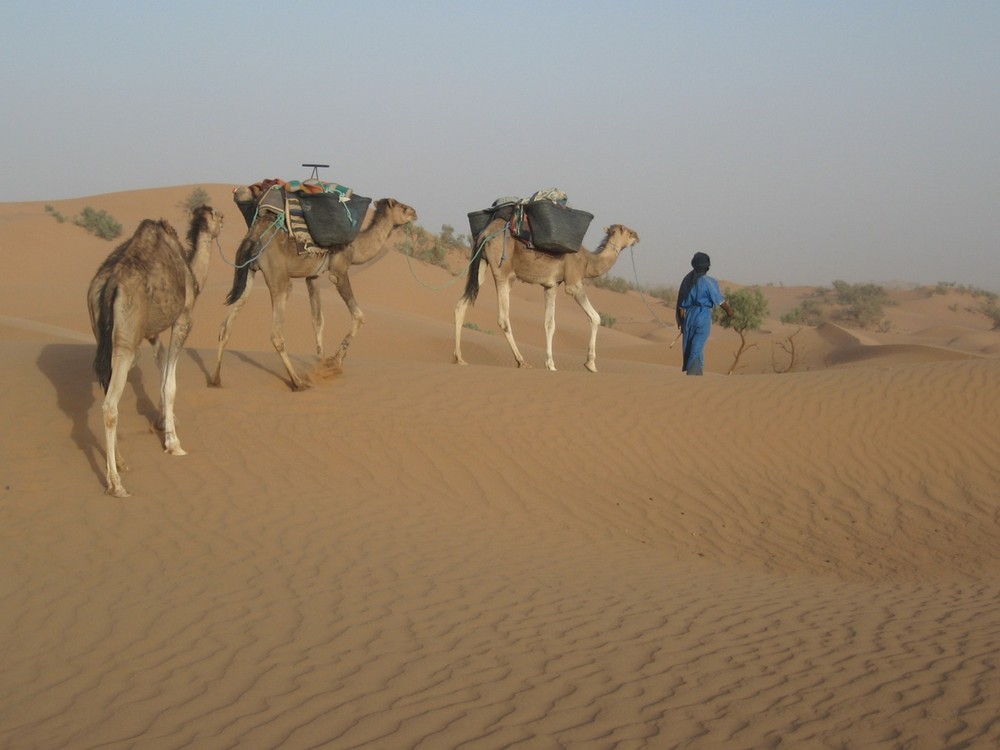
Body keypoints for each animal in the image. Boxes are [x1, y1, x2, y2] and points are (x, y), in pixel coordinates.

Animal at [88, 206, 225, 500]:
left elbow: (161, 364)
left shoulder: (152, 332)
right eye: (218, 217)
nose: (224, 219)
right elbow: (169, 384)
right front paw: (174, 443)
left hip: (103, 334)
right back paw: (116, 485)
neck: (192, 274)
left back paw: (120, 462)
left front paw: (164, 422)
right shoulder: (183, 319)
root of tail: (110, 283)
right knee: (110, 405)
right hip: (126, 340)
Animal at [209, 194, 416, 394]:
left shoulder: (313, 276)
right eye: (403, 207)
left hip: (248, 272)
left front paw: (321, 362)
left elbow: (318, 320)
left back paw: (215, 380)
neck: (356, 247)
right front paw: (335, 362)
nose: (414, 213)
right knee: (276, 333)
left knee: (225, 326)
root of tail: (254, 235)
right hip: (278, 275)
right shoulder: (338, 271)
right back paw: (298, 383)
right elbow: (359, 316)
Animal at [456, 222, 640, 374]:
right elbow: (595, 317)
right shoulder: (573, 284)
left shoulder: (551, 285)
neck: (588, 261)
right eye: (628, 231)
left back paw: (459, 358)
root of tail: (485, 233)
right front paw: (591, 364)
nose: (637, 237)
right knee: (503, 318)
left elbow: (550, 324)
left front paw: (550, 365)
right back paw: (522, 361)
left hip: (481, 263)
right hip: (502, 271)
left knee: (461, 304)